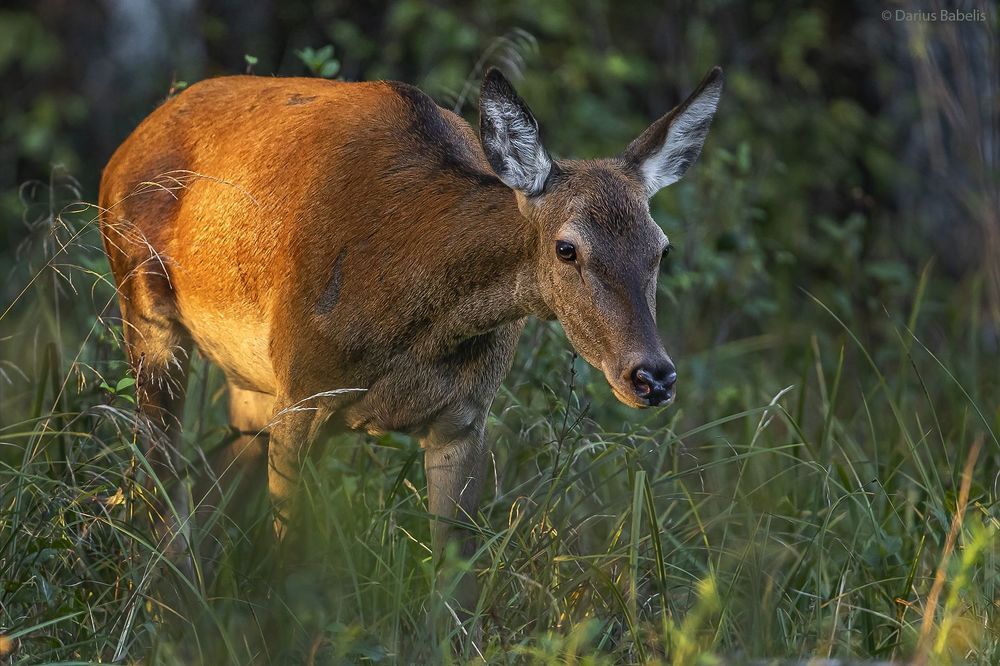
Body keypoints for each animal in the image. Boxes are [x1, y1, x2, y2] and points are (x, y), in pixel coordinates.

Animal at [98, 65, 723, 611]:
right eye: (567, 248)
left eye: (661, 248)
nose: (652, 376)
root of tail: (124, 149)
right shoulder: (303, 392)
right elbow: (291, 560)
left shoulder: (464, 417)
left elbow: (453, 588)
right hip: (145, 311)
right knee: (157, 475)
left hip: (250, 389)